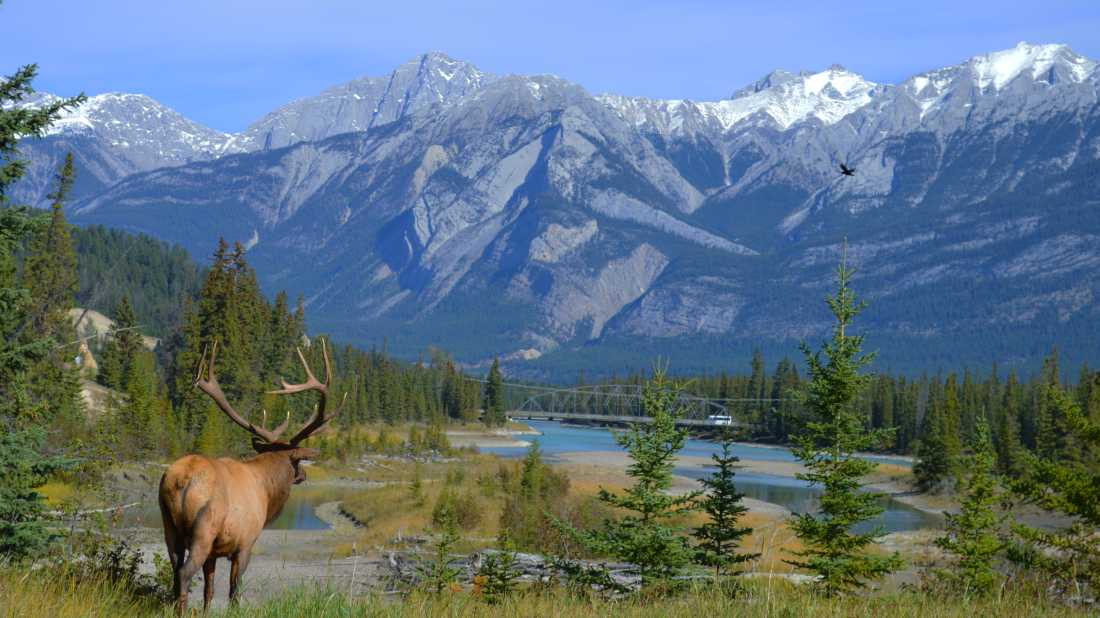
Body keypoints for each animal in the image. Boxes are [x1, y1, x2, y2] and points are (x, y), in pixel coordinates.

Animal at [158, 338, 344, 615]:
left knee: (174, 571)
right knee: (183, 574)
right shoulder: (245, 543)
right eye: (298, 460)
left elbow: (208, 592)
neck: (267, 491)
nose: (304, 474)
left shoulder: (214, 552)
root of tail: (181, 481)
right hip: (203, 528)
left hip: (168, 526)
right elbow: (234, 592)